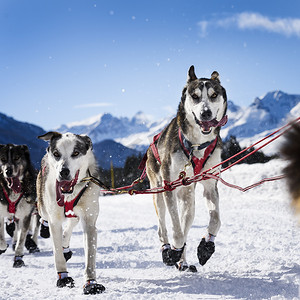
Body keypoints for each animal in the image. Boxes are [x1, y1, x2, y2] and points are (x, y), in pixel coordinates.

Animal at [36, 132, 105, 294]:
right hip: (43, 205)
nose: (64, 172)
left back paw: (65, 246)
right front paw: (63, 277)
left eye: (75, 153)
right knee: (44, 217)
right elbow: (57, 254)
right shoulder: (55, 222)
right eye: (56, 154)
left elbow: (90, 257)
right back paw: (45, 228)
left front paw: (91, 283)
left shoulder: (89, 222)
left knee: (72, 222)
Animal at [145, 66, 227, 272]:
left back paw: (183, 261)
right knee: (163, 226)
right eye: (195, 96)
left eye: (214, 95)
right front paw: (173, 250)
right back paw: (168, 249)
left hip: (188, 199)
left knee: (186, 221)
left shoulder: (210, 184)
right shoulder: (169, 186)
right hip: (158, 192)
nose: (206, 113)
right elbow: (176, 227)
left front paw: (206, 245)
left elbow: (216, 219)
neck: (196, 145)